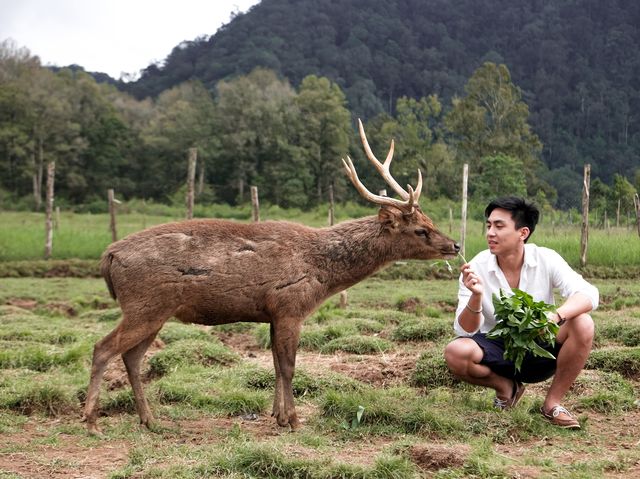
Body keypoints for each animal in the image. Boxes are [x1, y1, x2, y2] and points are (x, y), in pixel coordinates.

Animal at [85, 120, 460, 436]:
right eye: (421, 230)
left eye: (429, 221)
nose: (455, 245)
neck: (324, 274)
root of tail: (108, 257)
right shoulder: (290, 305)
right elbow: (290, 366)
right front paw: (294, 420)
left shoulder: (271, 313)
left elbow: (276, 366)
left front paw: (277, 416)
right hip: (144, 304)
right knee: (103, 348)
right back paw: (92, 422)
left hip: (155, 311)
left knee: (131, 357)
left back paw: (149, 420)